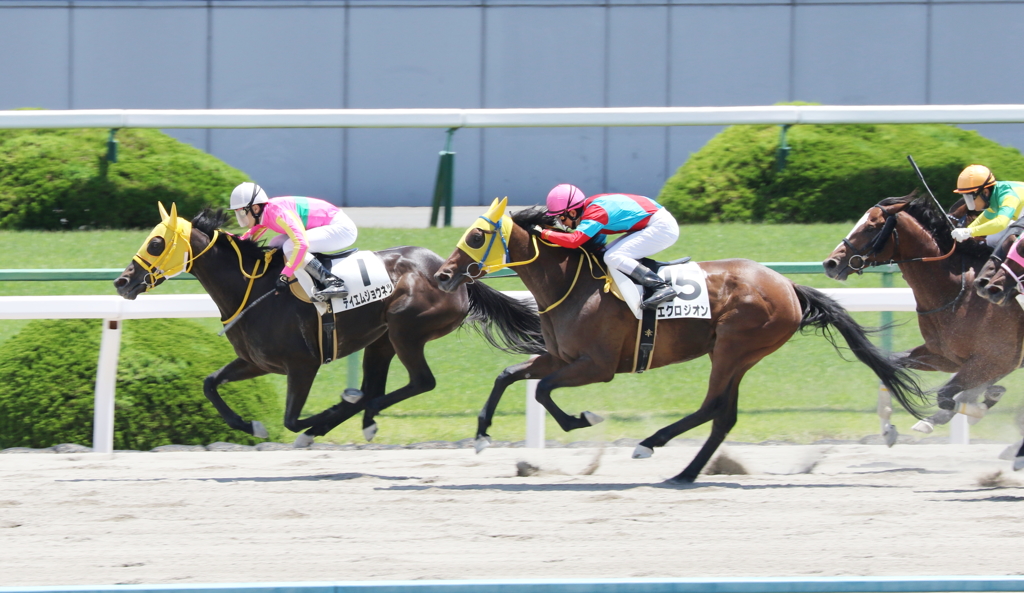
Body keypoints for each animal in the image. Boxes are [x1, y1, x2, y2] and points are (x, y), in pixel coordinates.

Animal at [432, 198, 929, 483]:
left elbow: (543, 391)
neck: (571, 284)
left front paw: (581, 419)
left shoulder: (598, 366)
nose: (442, 275)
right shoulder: (558, 356)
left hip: (733, 347)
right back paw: (686, 474)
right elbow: (509, 375)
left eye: (476, 235)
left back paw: (650, 444)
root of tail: (787, 285)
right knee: (724, 415)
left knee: (712, 408)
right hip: (739, 355)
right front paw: (481, 435)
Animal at [823, 194, 1024, 446]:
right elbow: (891, 367)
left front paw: (976, 409)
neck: (956, 292)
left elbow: (946, 396)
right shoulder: (945, 356)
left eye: (870, 227)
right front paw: (889, 430)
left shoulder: (996, 359)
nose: (830, 263)